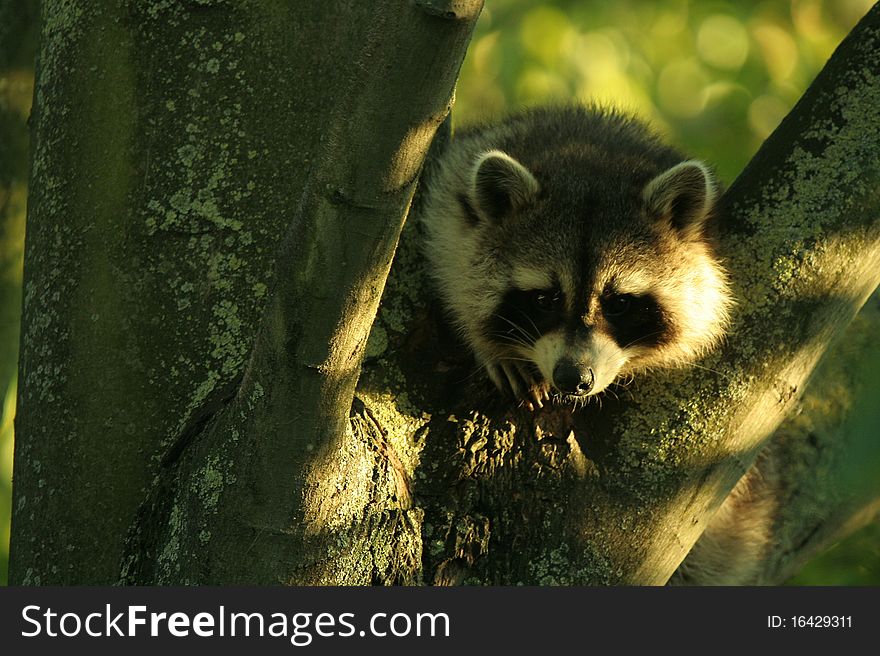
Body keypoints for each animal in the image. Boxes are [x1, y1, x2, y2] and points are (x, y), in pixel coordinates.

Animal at [422, 105, 732, 408]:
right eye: (543, 299)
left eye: (619, 303)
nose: (573, 378)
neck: (589, 162)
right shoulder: (451, 192)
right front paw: (490, 348)